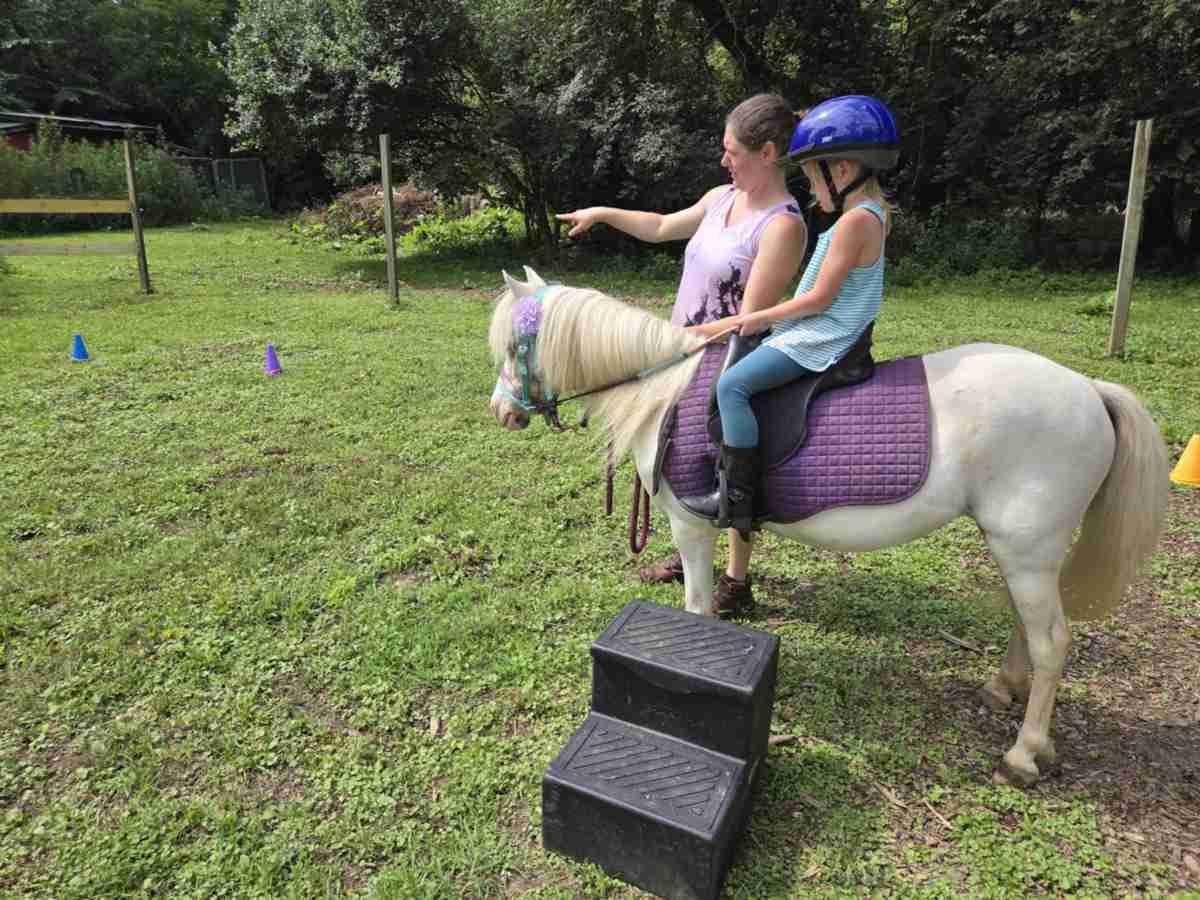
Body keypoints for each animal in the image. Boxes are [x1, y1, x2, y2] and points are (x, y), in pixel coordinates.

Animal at [487, 267, 1169, 785]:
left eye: (514, 347)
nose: (502, 412)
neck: (667, 392)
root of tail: (1090, 390)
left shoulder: (691, 527)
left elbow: (696, 606)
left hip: (1028, 550)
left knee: (1053, 640)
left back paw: (1024, 754)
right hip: (1016, 550)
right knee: (1025, 625)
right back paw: (1002, 689)